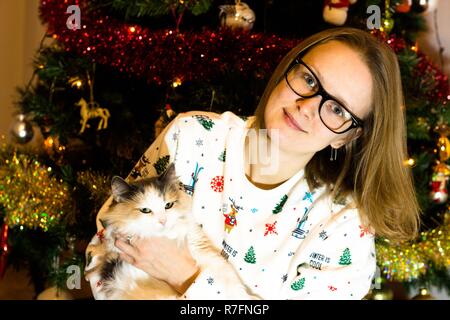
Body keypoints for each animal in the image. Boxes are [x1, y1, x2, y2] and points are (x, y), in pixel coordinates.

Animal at [83, 164, 255, 298]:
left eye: (168, 205)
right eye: (145, 210)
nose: (163, 221)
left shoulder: (201, 250)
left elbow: (226, 272)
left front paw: (244, 295)